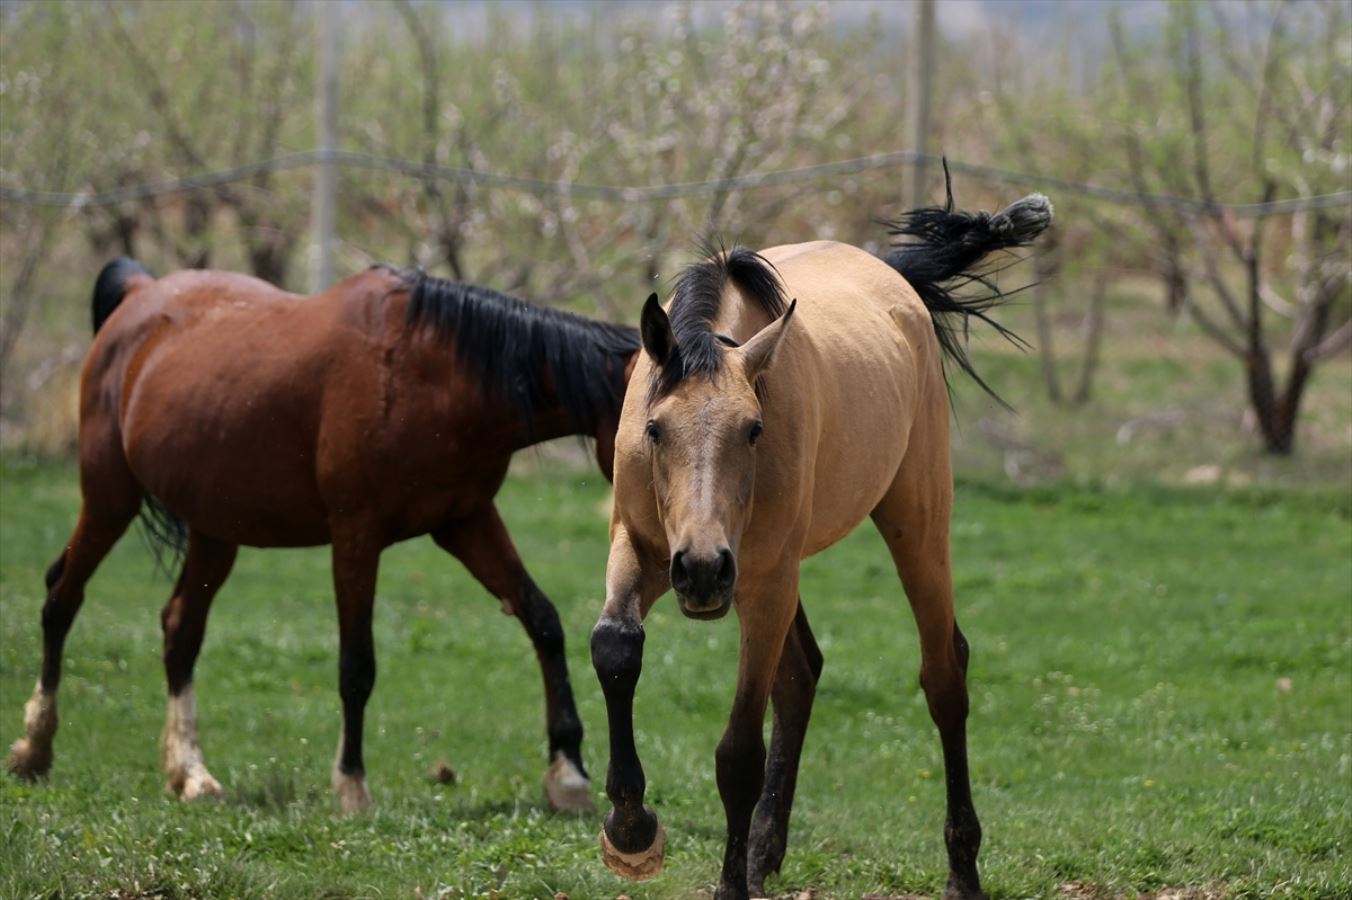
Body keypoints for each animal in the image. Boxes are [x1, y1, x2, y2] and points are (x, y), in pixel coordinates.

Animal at [5, 255, 638, 810]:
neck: (435, 371)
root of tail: (139, 295)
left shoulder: (466, 520)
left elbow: (543, 622)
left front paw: (568, 775)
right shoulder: (357, 534)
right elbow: (357, 665)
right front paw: (351, 784)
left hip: (215, 531)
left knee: (180, 629)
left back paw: (190, 773)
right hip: (109, 498)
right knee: (62, 596)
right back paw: (34, 749)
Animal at [594, 185, 1054, 891]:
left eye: (754, 428)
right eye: (654, 429)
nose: (701, 570)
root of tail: (895, 279)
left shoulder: (762, 583)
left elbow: (739, 754)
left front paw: (726, 884)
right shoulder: (643, 550)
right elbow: (615, 648)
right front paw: (630, 830)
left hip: (913, 525)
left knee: (944, 675)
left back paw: (962, 870)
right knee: (801, 675)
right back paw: (762, 854)